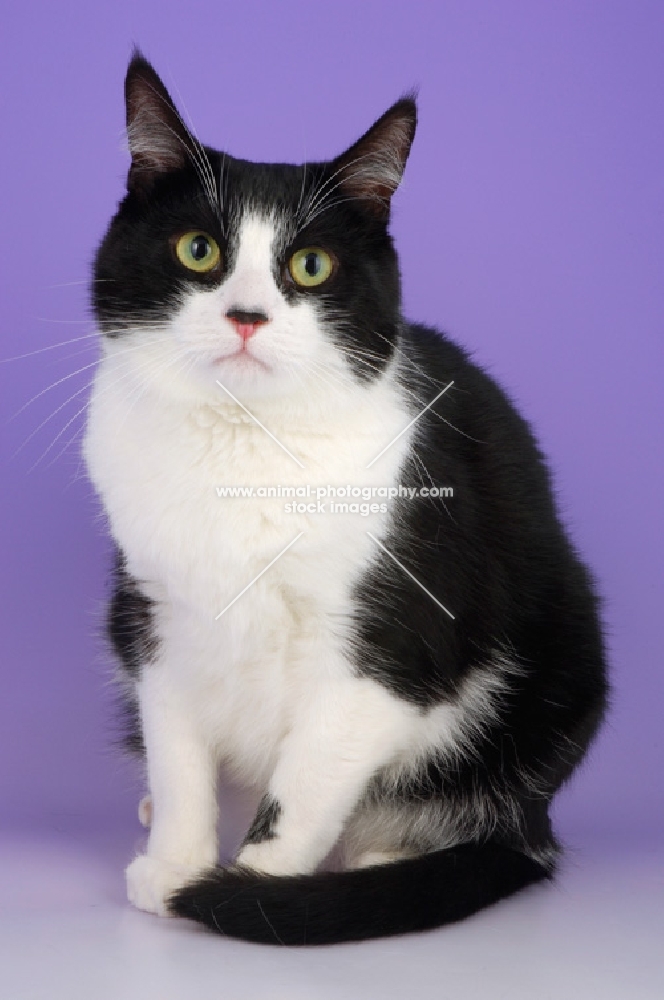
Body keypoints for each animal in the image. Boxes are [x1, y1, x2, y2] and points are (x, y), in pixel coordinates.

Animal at [83, 52, 608, 944]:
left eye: (310, 266)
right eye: (198, 250)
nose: (247, 316)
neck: (245, 447)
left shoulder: (388, 643)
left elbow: (307, 780)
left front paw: (255, 891)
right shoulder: (153, 612)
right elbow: (178, 748)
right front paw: (178, 864)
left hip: (562, 672)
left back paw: (390, 858)